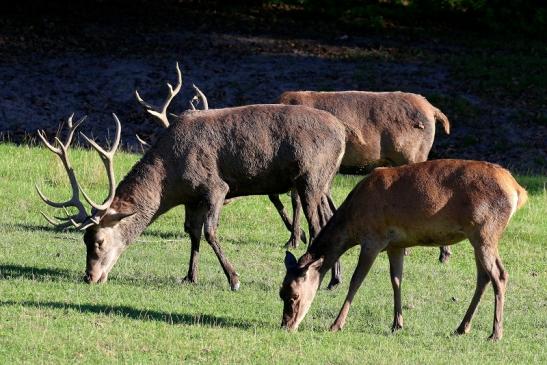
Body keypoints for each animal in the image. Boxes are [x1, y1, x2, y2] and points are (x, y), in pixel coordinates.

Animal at [37, 103, 346, 290]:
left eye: (99, 241)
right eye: (84, 240)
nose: (90, 277)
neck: (170, 182)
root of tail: (343, 132)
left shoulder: (216, 187)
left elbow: (209, 231)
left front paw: (234, 279)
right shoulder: (191, 198)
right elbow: (192, 233)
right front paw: (189, 276)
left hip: (310, 178)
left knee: (317, 226)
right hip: (323, 181)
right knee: (329, 220)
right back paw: (334, 280)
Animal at [280, 158, 528, 340]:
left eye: (294, 295)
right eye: (280, 292)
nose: (286, 326)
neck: (353, 222)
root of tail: (518, 191)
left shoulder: (373, 238)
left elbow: (356, 281)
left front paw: (336, 325)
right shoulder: (396, 245)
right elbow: (396, 280)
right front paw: (397, 324)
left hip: (486, 231)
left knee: (500, 275)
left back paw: (495, 334)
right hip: (477, 236)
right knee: (483, 277)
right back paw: (461, 327)